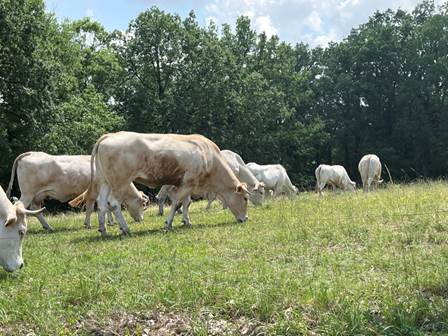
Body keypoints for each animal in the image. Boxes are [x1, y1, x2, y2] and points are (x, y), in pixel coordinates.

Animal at [72, 132, 248, 236]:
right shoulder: (188, 182)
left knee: (101, 203)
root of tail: (108, 136)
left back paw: (103, 230)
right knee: (114, 203)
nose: (245, 218)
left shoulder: (185, 184)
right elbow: (177, 202)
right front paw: (169, 224)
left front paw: (186, 221)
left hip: (105, 181)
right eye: (246, 199)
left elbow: (186, 203)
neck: (209, 157)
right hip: (120, 181)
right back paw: (125, 229)